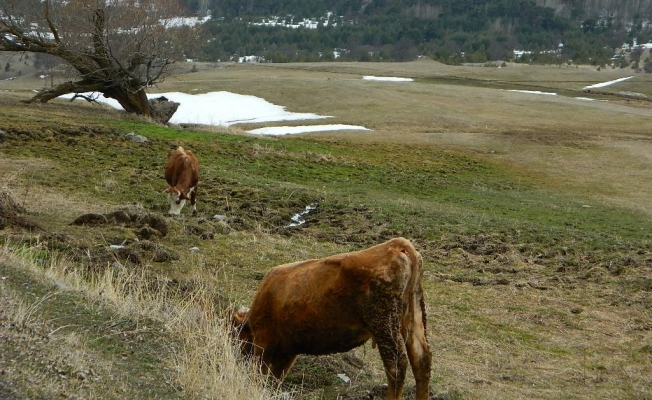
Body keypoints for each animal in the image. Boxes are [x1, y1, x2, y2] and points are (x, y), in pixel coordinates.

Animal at [232, 238, 430, 400]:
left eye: (235, 336)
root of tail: (396, 244)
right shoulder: (287, 351)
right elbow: (274, 380)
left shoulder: (263, 344)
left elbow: (261, 374)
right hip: (414, 318)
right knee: (422, 361)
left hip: (385, 326)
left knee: (396, 365)